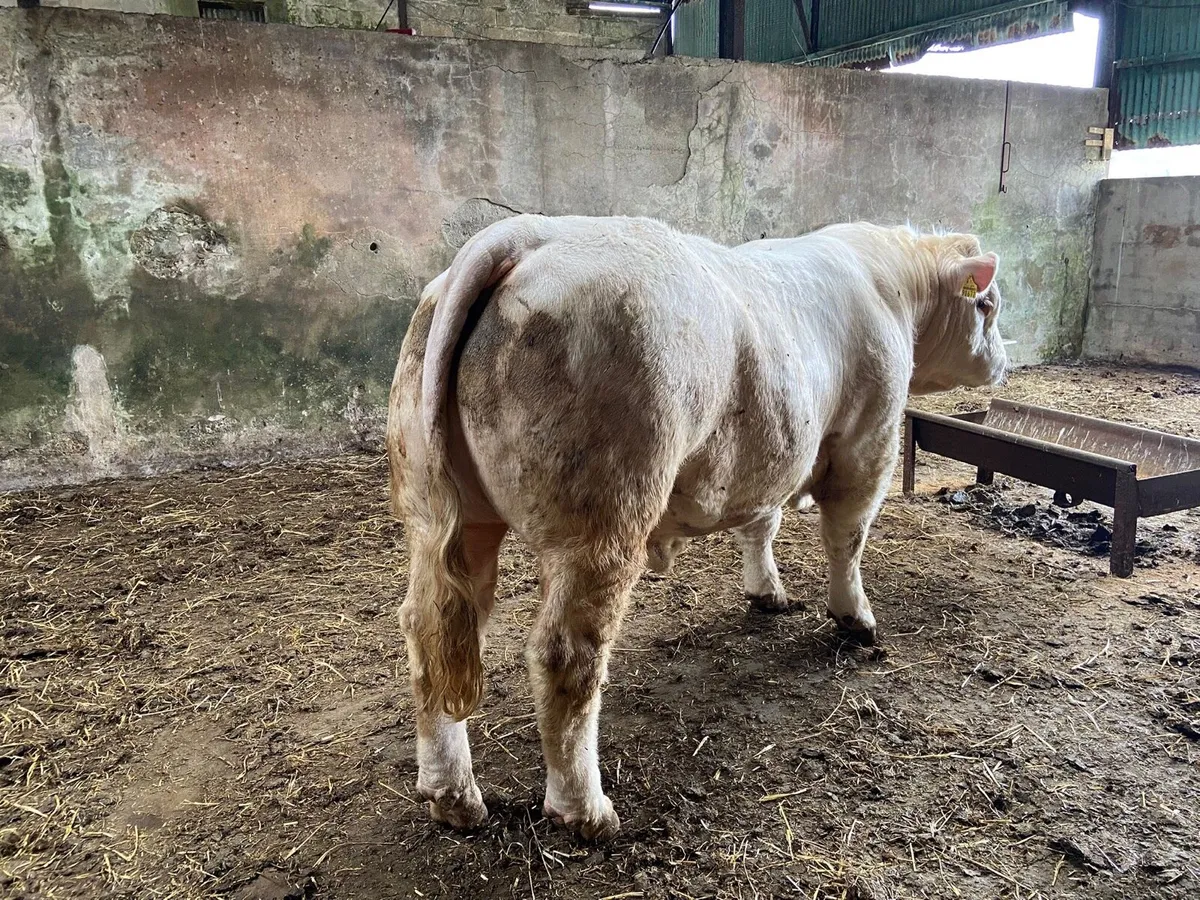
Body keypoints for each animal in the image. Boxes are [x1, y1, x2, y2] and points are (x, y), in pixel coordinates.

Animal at [387, 214, 1006, 841]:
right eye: (987, 305)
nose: (1003, 362)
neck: (894, 285)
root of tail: (525, 235)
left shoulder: (769, 457)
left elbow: (762, 523)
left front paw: (767, 592)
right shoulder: (868, 438)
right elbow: (847, 537)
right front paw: (855, 618)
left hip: (440, 511)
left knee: (433, 627)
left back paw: (453, 796)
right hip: (603, 515)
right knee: (566, 654)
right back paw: (586, 810)